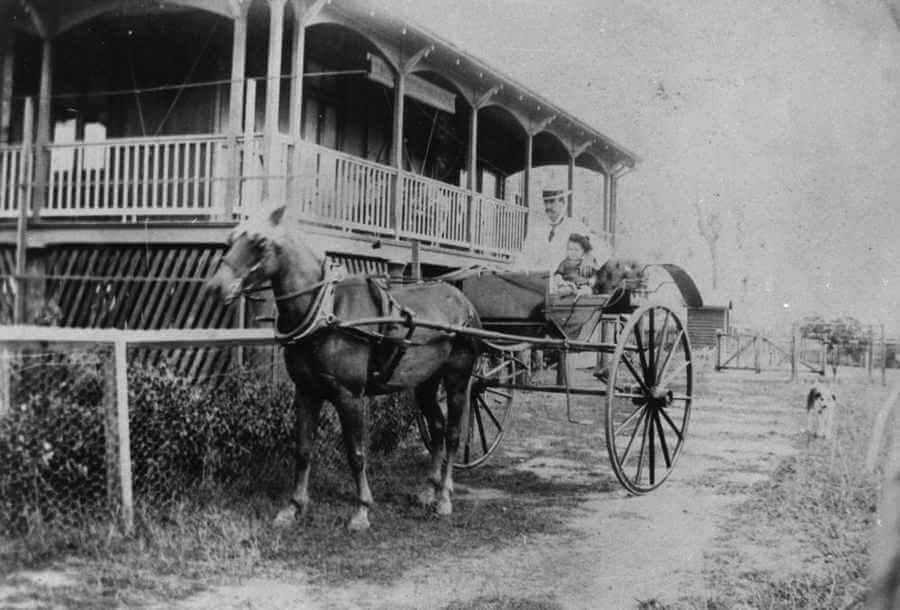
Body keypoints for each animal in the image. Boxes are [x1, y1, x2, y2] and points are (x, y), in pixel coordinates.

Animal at [207, 203, 482, 528]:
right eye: (230, 238)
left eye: (260, 242)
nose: (215, 287)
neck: (326, 311)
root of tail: (463, 300)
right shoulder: (306, 392)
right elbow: (303, 449)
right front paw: (294, 506)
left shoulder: (349, 395)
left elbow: (356, 452)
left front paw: (361, 510)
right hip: (426, 381)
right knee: (437, 428)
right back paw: (430, 489)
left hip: (457, 377)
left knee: (452, 434)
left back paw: (444, 497)